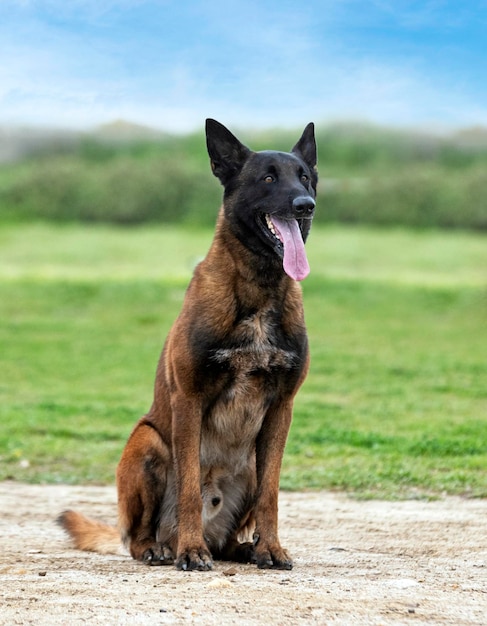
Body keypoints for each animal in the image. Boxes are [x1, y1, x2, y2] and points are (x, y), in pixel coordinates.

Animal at [59, 118, 318, 572]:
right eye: (268, 178)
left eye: (304, 177)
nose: (306, 205)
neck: (259, 287)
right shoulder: (189, 401)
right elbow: (189, 487)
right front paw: (190, 550)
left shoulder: (282, 409)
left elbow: (271, 494)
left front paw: (270, 548)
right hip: (147, 443)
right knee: (138, 536)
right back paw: (163, 547)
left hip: (250, 464)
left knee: (236, 530)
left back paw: (244, 548)